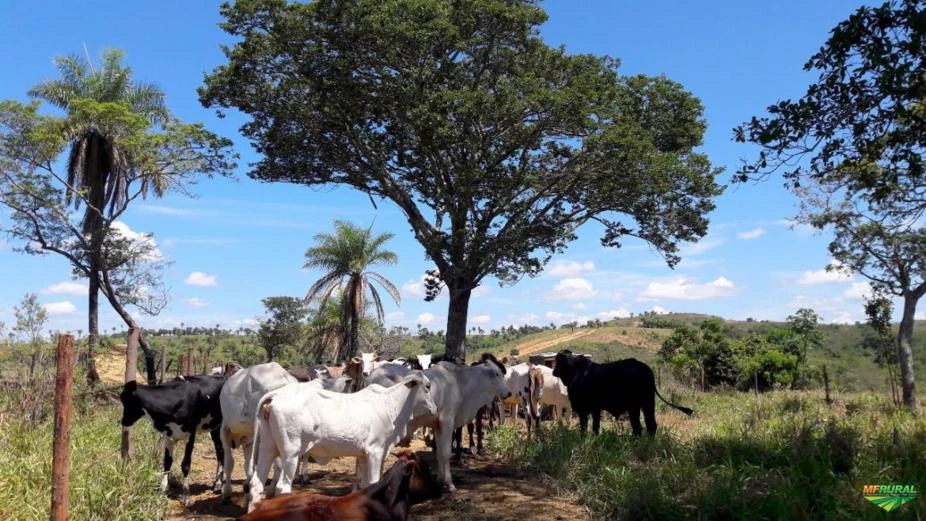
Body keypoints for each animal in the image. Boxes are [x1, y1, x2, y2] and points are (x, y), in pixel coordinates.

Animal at [120, 374, 227, 504]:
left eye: (126, 400)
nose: (123, 421)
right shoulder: (168, 436)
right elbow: (167, 462)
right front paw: (162, 492)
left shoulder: (190, 434)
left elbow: (185, 464)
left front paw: (186, 495)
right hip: (214, 428)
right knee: (220, 451)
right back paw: (217, 483)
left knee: (221, 452)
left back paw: (218, 485)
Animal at [246, 372, 436, 510]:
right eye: (427, 386)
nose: (435, 409)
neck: (391, 406)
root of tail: (276, 394)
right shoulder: (375, 452)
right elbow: (373, 483)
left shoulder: (363, 455)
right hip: (290, 453)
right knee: (282, 487)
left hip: (268, 447)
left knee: (256, 484)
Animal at [364, 352, 512, 490]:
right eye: (496, 373)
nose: (509, 392)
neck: (460, 382)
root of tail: (372, 375)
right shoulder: (447, 421)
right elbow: (446, 453)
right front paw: (450, 484)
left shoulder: (437, 425)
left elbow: (440, 453)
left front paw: (440, 479)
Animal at [552, 350, 696, 434]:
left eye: (558, 361)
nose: (554, 371)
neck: (577, 372)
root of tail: (646, 369)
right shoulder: (595, 409)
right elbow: (595, 427)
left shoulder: (584, 409)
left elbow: (585, 427)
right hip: (645, 404)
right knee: (647, 425)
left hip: (636, 406)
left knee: (643, 426)